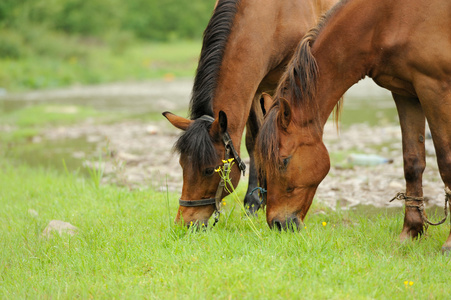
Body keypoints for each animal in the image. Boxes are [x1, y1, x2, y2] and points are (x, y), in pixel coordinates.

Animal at [162, 0, 336, 226]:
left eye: (209, 170)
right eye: (182, 165)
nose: (186, 223)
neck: (274, 15)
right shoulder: (254, 88)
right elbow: (255, 140)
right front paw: (255, 202)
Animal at [256, 0, 451, 250]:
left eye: (284, 161)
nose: (278, 224)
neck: (387, 18)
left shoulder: (435, 89)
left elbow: (446, 163)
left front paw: (448, 244)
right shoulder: (406, 93)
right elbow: (413, 163)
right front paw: (410, 233)